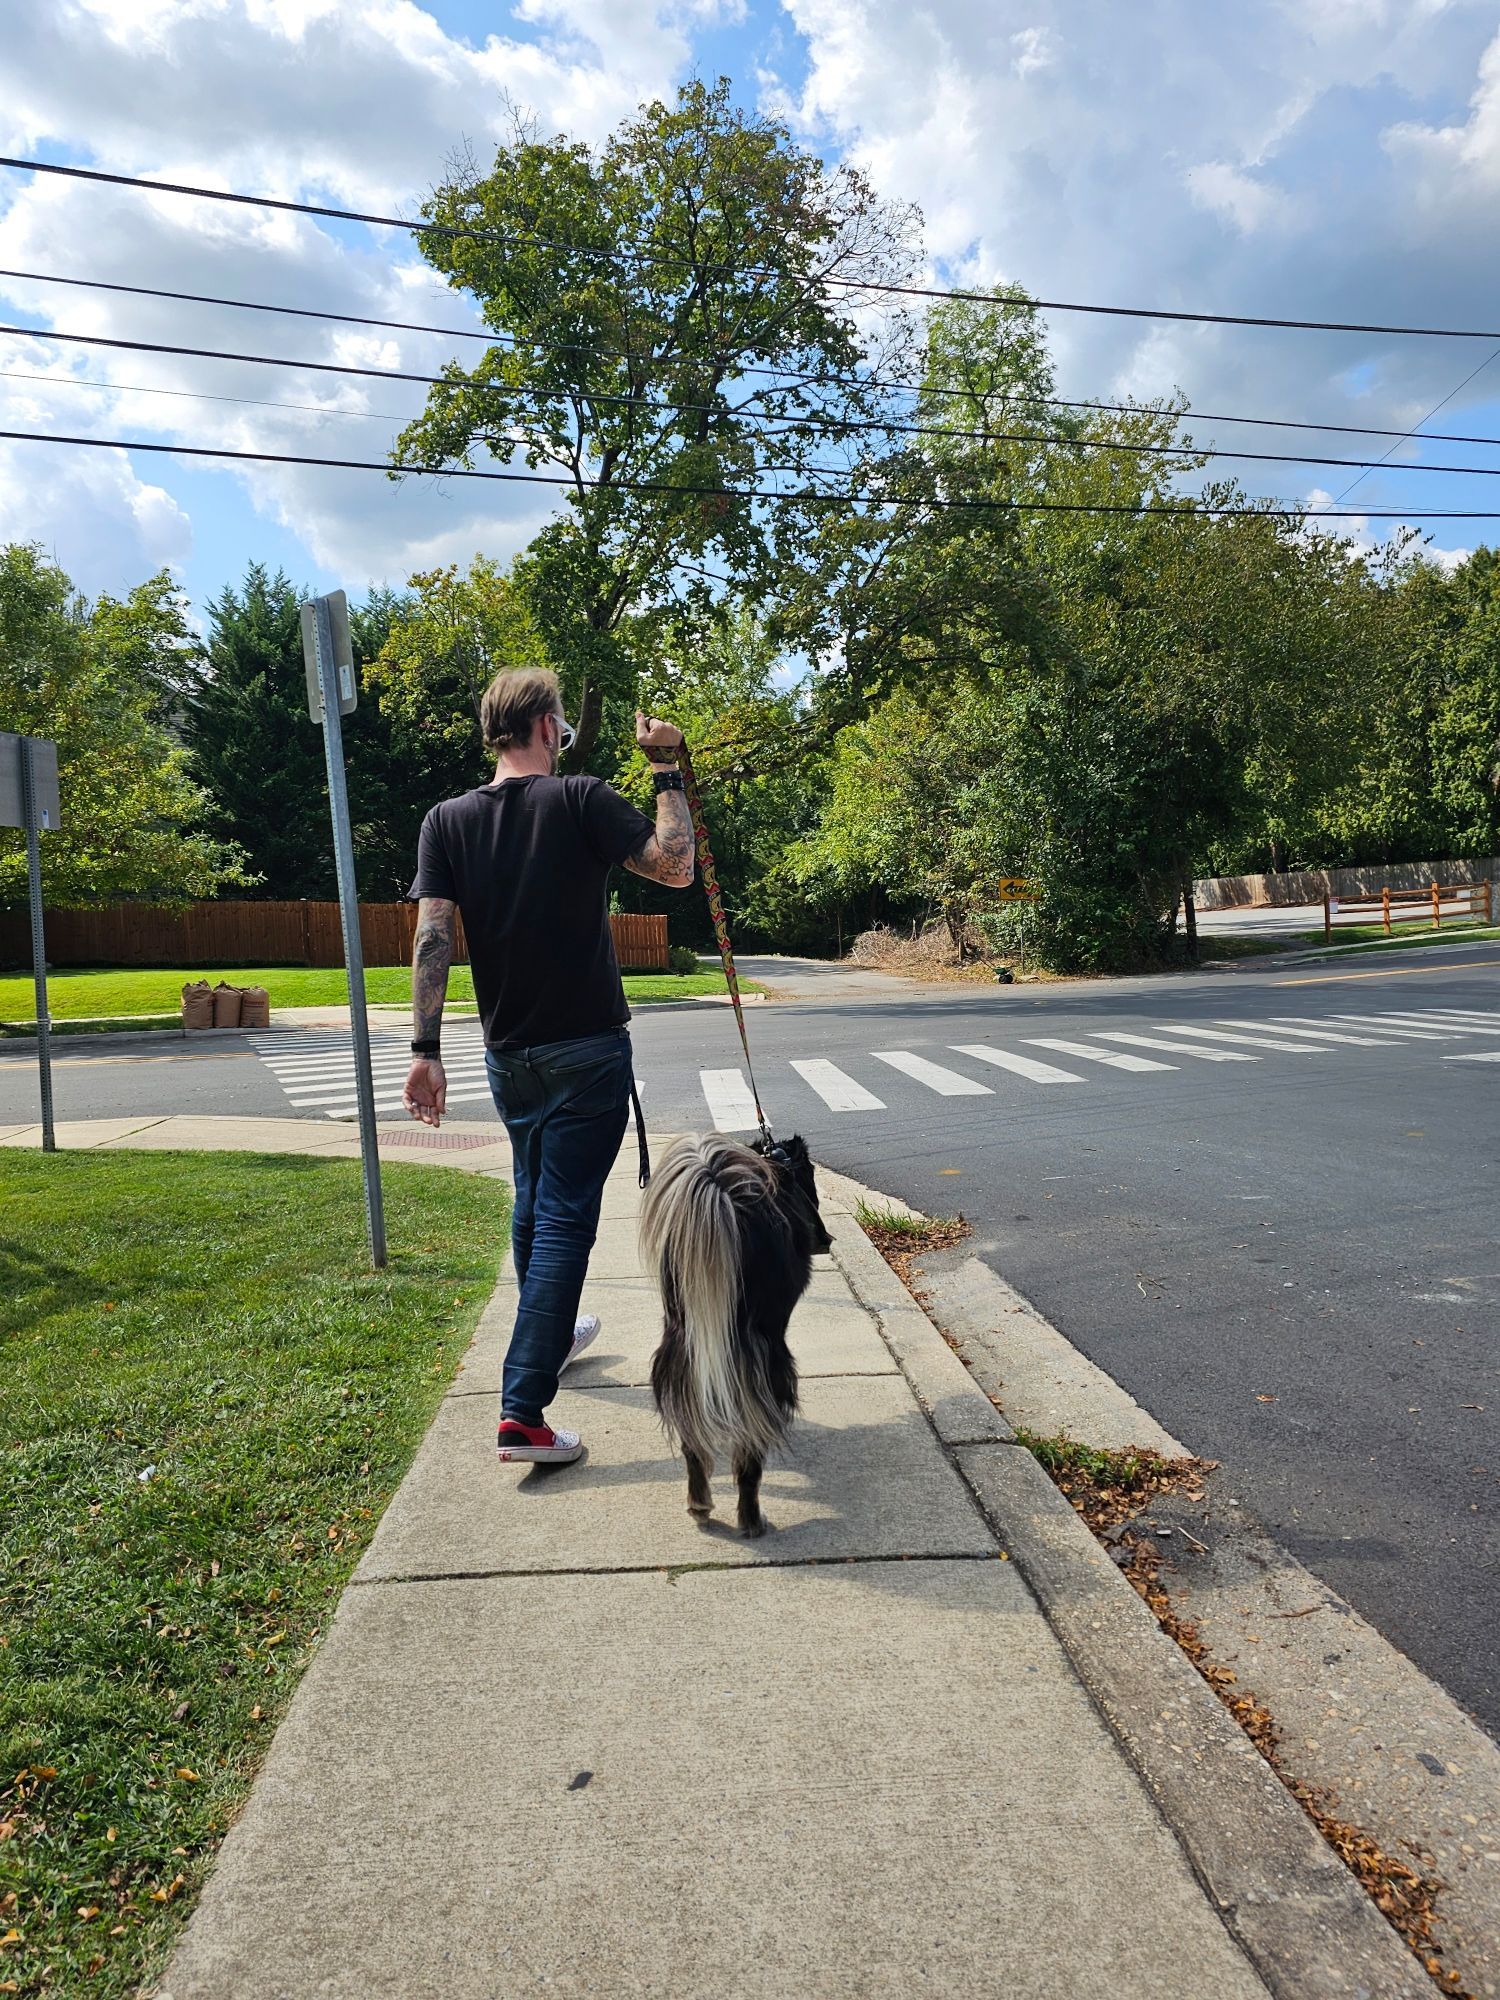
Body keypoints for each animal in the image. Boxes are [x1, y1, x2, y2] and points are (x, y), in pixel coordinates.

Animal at [644, 1136, 840, 1536]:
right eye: (810, 1175)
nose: (826, 1240)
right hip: (763, 1360)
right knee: (749, 1453)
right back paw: (751, 1519)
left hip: (681, 1349)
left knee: (691, 1443)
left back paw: (700, 1505)